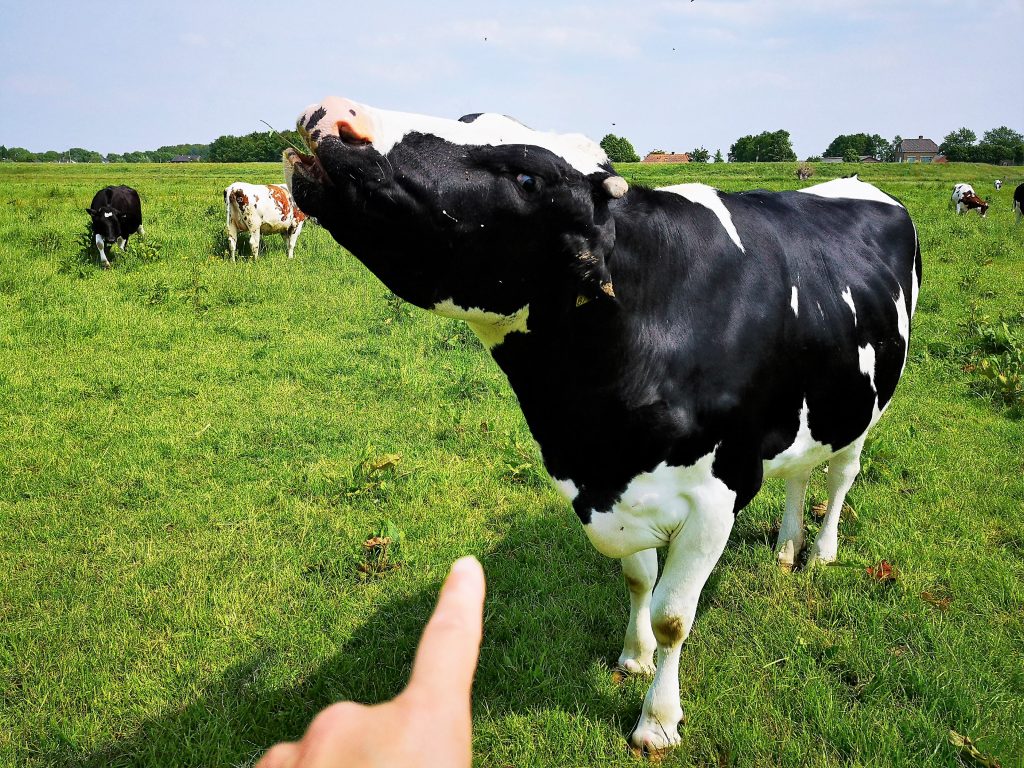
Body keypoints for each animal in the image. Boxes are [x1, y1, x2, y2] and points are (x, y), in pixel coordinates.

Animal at [286, 99, 921, 753]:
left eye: (527, 178)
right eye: (469, 118)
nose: (337, 114)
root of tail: (854, 184)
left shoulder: (715, 496)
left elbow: (674, 616)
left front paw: (658, 720)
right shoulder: (616, 492)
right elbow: (640, 580)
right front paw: (634, 657)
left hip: (865, 407)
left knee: (841, 475)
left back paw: (820, 551)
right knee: (799, 471)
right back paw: (786, 546)